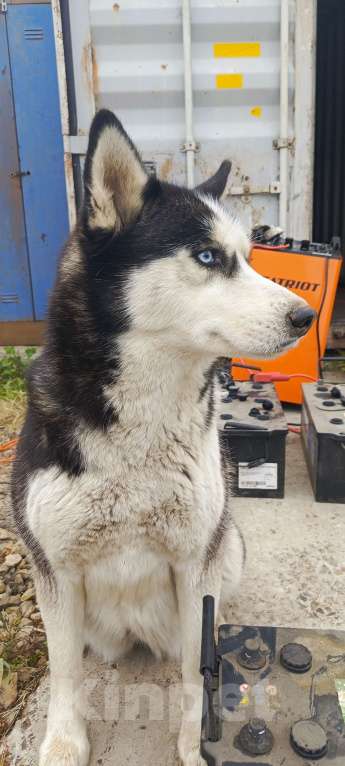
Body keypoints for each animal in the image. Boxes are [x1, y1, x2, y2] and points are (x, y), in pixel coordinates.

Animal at [12, 109, 314, 766]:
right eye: (207, 256)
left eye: (249, 257)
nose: (306, 318)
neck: (140, 430)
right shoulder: (55, 570)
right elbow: (65, 670)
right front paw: (65, 741)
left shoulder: (195, 563)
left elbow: (198, 670)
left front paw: (195, 738)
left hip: (226, 544)